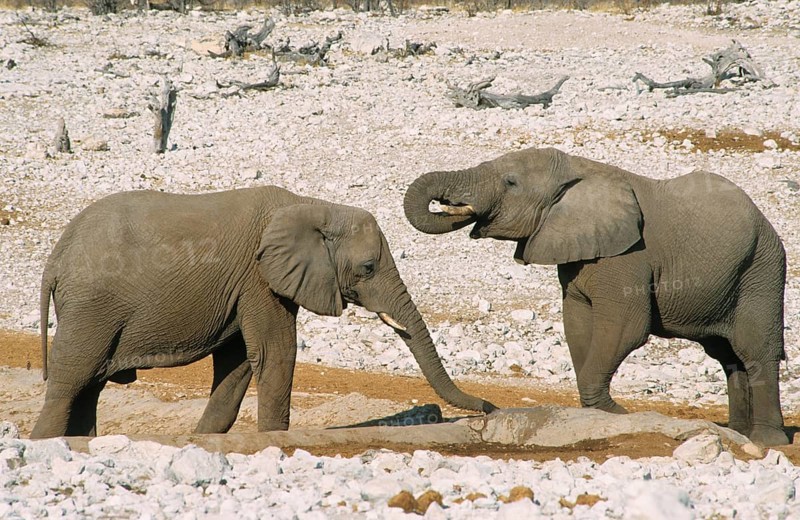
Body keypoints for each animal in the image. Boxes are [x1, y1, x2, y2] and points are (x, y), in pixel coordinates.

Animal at [31, 186, 496, 439]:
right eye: (367, 268)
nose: (490, 408)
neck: (309, 204)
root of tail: (55, 259)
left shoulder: (245, 286)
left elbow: (238, 363)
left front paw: (204, 440)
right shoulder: (259, 277)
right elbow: (275, 354)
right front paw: (274, 439)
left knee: (89, 386)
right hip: (93, 307)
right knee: (70, 382)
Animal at [404, 146, 789, 446]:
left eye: (510, 182)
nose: (447, 203)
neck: (578, 169)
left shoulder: (628, 255)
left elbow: (625, 327)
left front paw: (614, 413)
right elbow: (577, 324)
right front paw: (597, 414)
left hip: (762, 270)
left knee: (756, 351)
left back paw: (766, 441)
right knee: (728, 357)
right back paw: (738, 432)